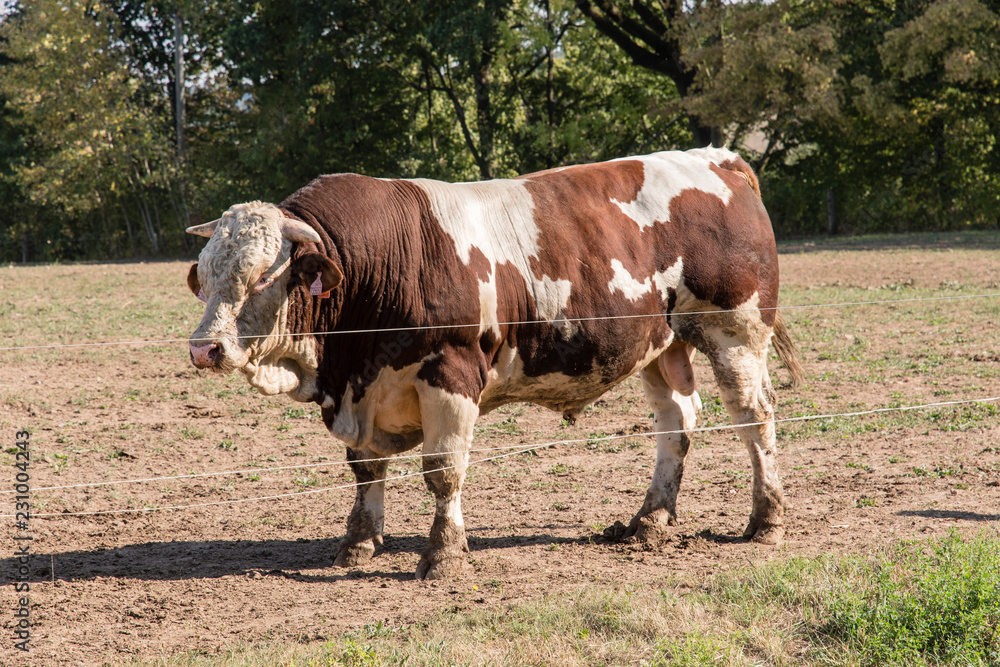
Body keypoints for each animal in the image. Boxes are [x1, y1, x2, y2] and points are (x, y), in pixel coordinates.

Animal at [185, 147, 803, 579]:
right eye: (205, 275)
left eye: (262, 276)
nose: (203, 348)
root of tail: (718, 158)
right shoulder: (360, 392)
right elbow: (366, 468)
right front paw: (358, 541)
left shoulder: (451, 375)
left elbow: (443, 470)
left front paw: (444, 555)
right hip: (662, 344)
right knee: (677, 422)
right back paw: (650, 521)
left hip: (736, 331)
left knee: (754, 417)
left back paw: (766, 519)